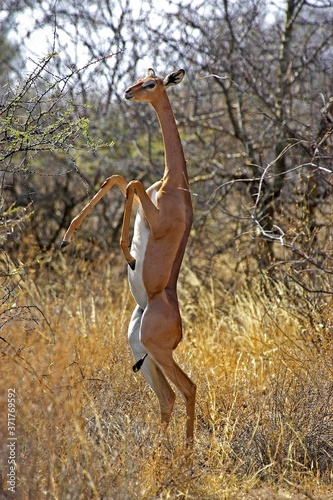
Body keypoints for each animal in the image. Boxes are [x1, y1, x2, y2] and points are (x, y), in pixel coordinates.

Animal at [62, 68, 195, 444]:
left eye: (151, 83)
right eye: (141, 78)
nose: (127, 92)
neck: (174, 184)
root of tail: (178, 329)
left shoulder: (157, 218)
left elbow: (132, 182)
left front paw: (129, 256)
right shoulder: (142, 204)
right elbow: (119, 179)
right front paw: (67, 236)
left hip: (158, 350)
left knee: (189, 389)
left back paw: (185, 452)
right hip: (139, 348)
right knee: (167, 398)